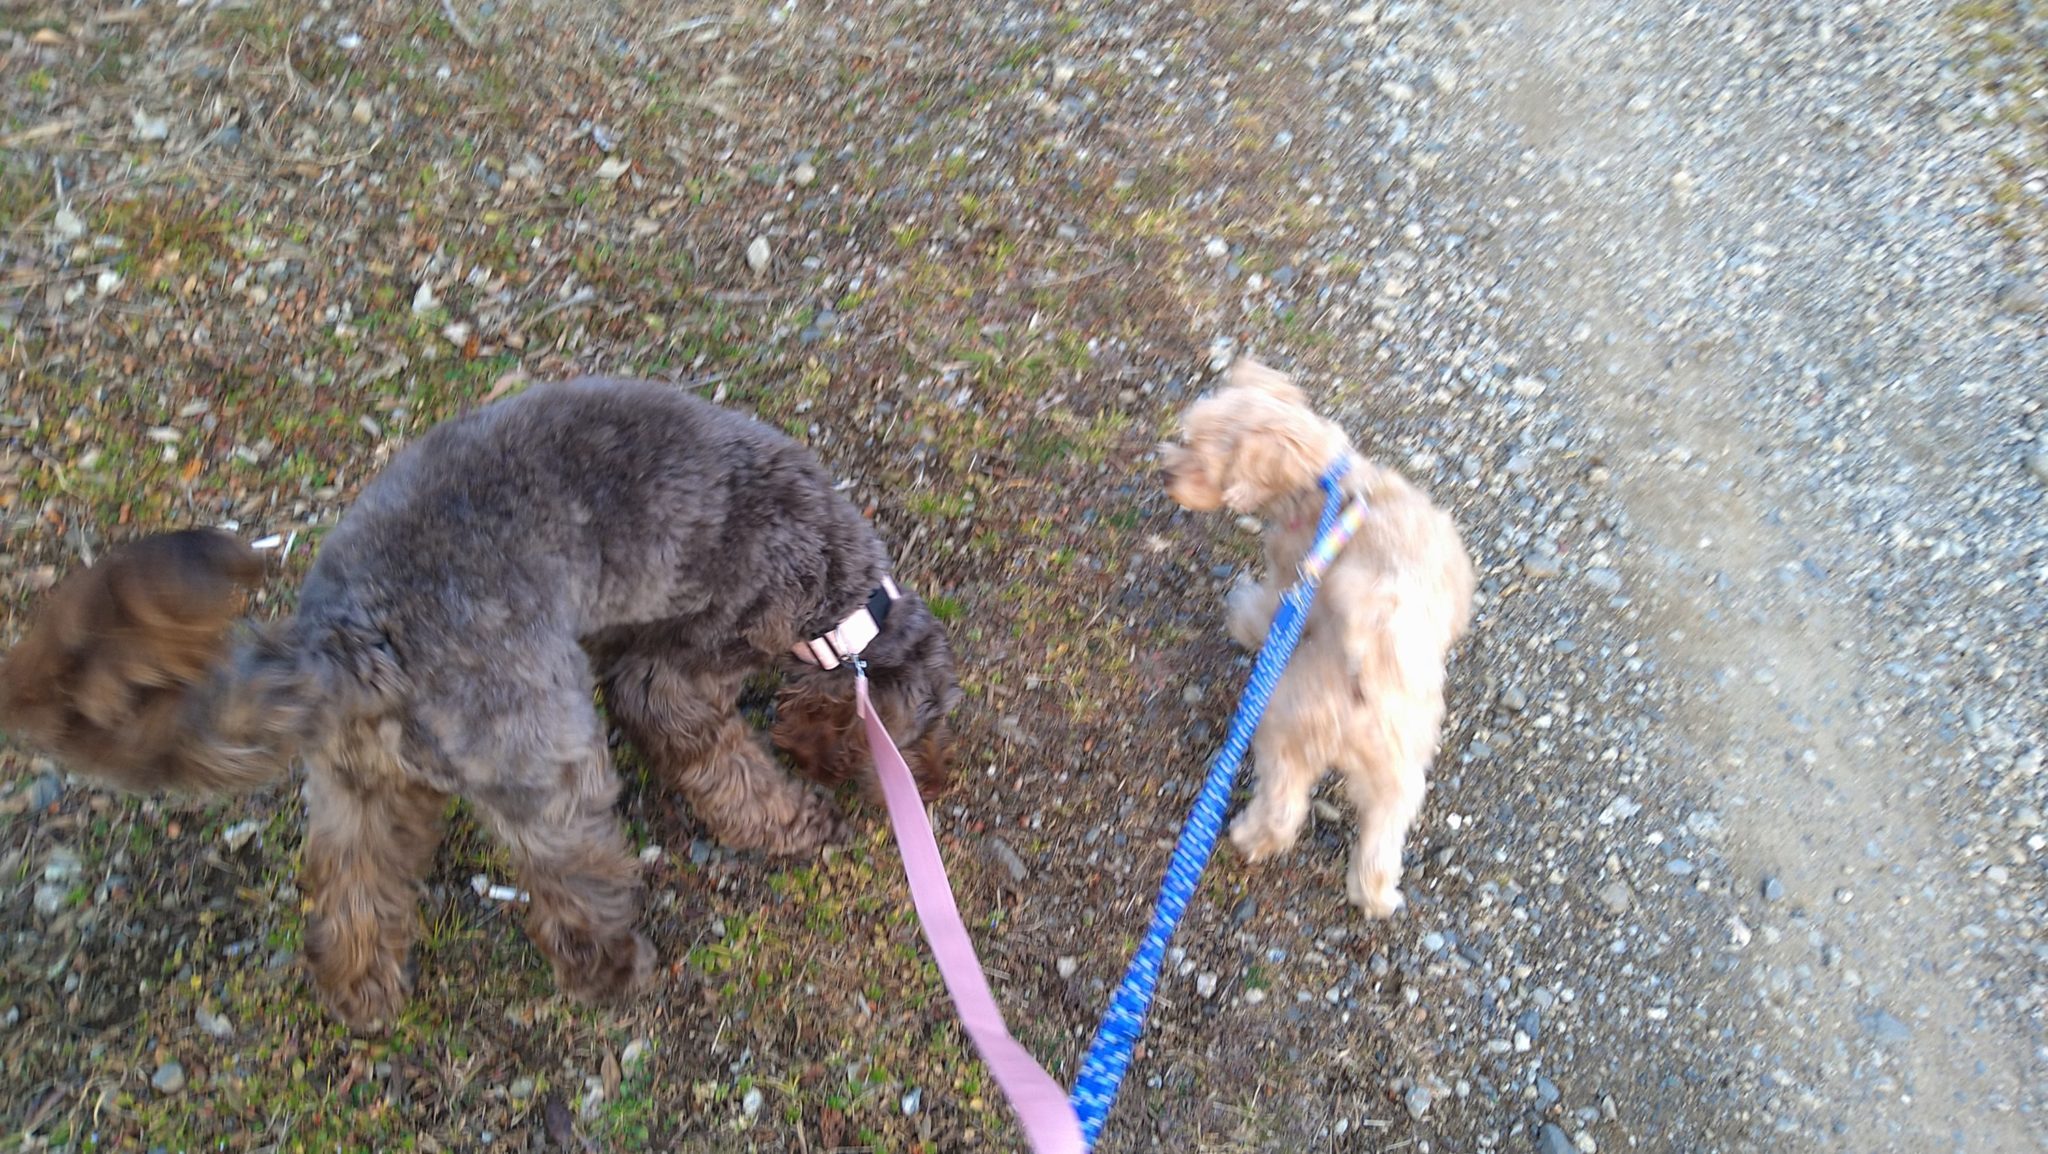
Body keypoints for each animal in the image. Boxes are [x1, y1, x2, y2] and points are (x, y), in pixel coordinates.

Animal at [0, 377, 961, 1032]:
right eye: (916, 738)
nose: (934, 782)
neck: (836, 598)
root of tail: (353, 635)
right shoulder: (694, 656)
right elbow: (712, 756)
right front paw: (790, 822)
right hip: (545, 759)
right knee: (571, 890)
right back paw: (618, 972)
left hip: (360, 781)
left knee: (351, 879)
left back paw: (362, 988)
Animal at [1158, 358, 1474, 916]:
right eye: (1186, 436)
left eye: (1200, 456)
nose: (1165, 470)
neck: (1326, 480)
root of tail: (1369, 682)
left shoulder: (1289, 577)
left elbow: (1265, 610)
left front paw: (1242, 619)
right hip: (1400, 773)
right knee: (1382, 837)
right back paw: (1376, 895)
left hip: (1284, 726)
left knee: (1284, 808)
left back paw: (1250, 836)